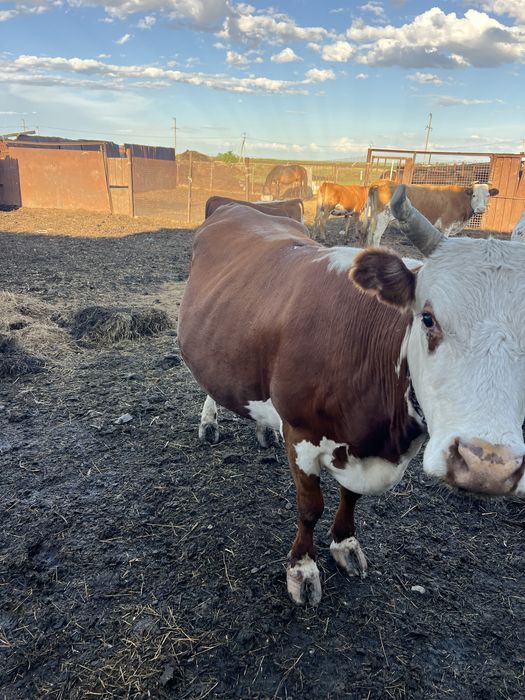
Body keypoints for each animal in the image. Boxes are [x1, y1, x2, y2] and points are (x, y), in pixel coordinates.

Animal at [177, 187, 525, 606]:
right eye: (427, 318)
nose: (487, 465)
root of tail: (236, 205)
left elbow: (351, 497)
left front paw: (344, 544)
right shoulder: (301, 434)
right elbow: (310, 507)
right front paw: (302, 568)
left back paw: (263, 430)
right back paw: (209, 422)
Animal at [364, 180, 499, 247]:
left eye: (488, 195)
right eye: (474, 195)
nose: (481, 209)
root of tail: (383, 183)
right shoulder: (447, 225)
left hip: (375, 217)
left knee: (370, 233)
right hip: (383, 217)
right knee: (376, 236)